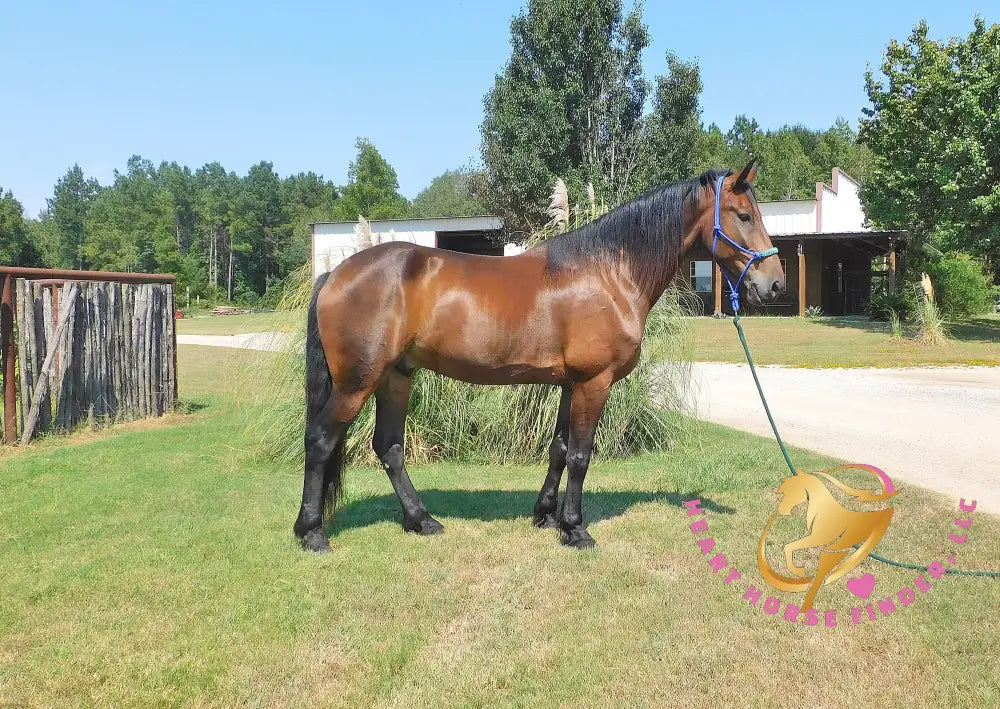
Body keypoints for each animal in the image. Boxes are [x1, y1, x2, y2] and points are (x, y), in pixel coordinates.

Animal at [294, 161, 786, 552]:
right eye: (743, 215)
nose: (775, 284)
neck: (608, 271)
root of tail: (335, 273)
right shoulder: (593, 382)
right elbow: (581, 455)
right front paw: (576, 528)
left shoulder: (570, 383)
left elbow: (560, 448)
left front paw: (547, 515)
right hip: (357, 382)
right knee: (321, 440)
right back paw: (312, 531)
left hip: (396, 376)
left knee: (390, 448)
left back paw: (421, 520)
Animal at [758, 466, 898, 610]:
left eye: (790, 489)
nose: (781, 510)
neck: (825, 511)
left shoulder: (817, 539)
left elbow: (789, 546)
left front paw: (798, 571)